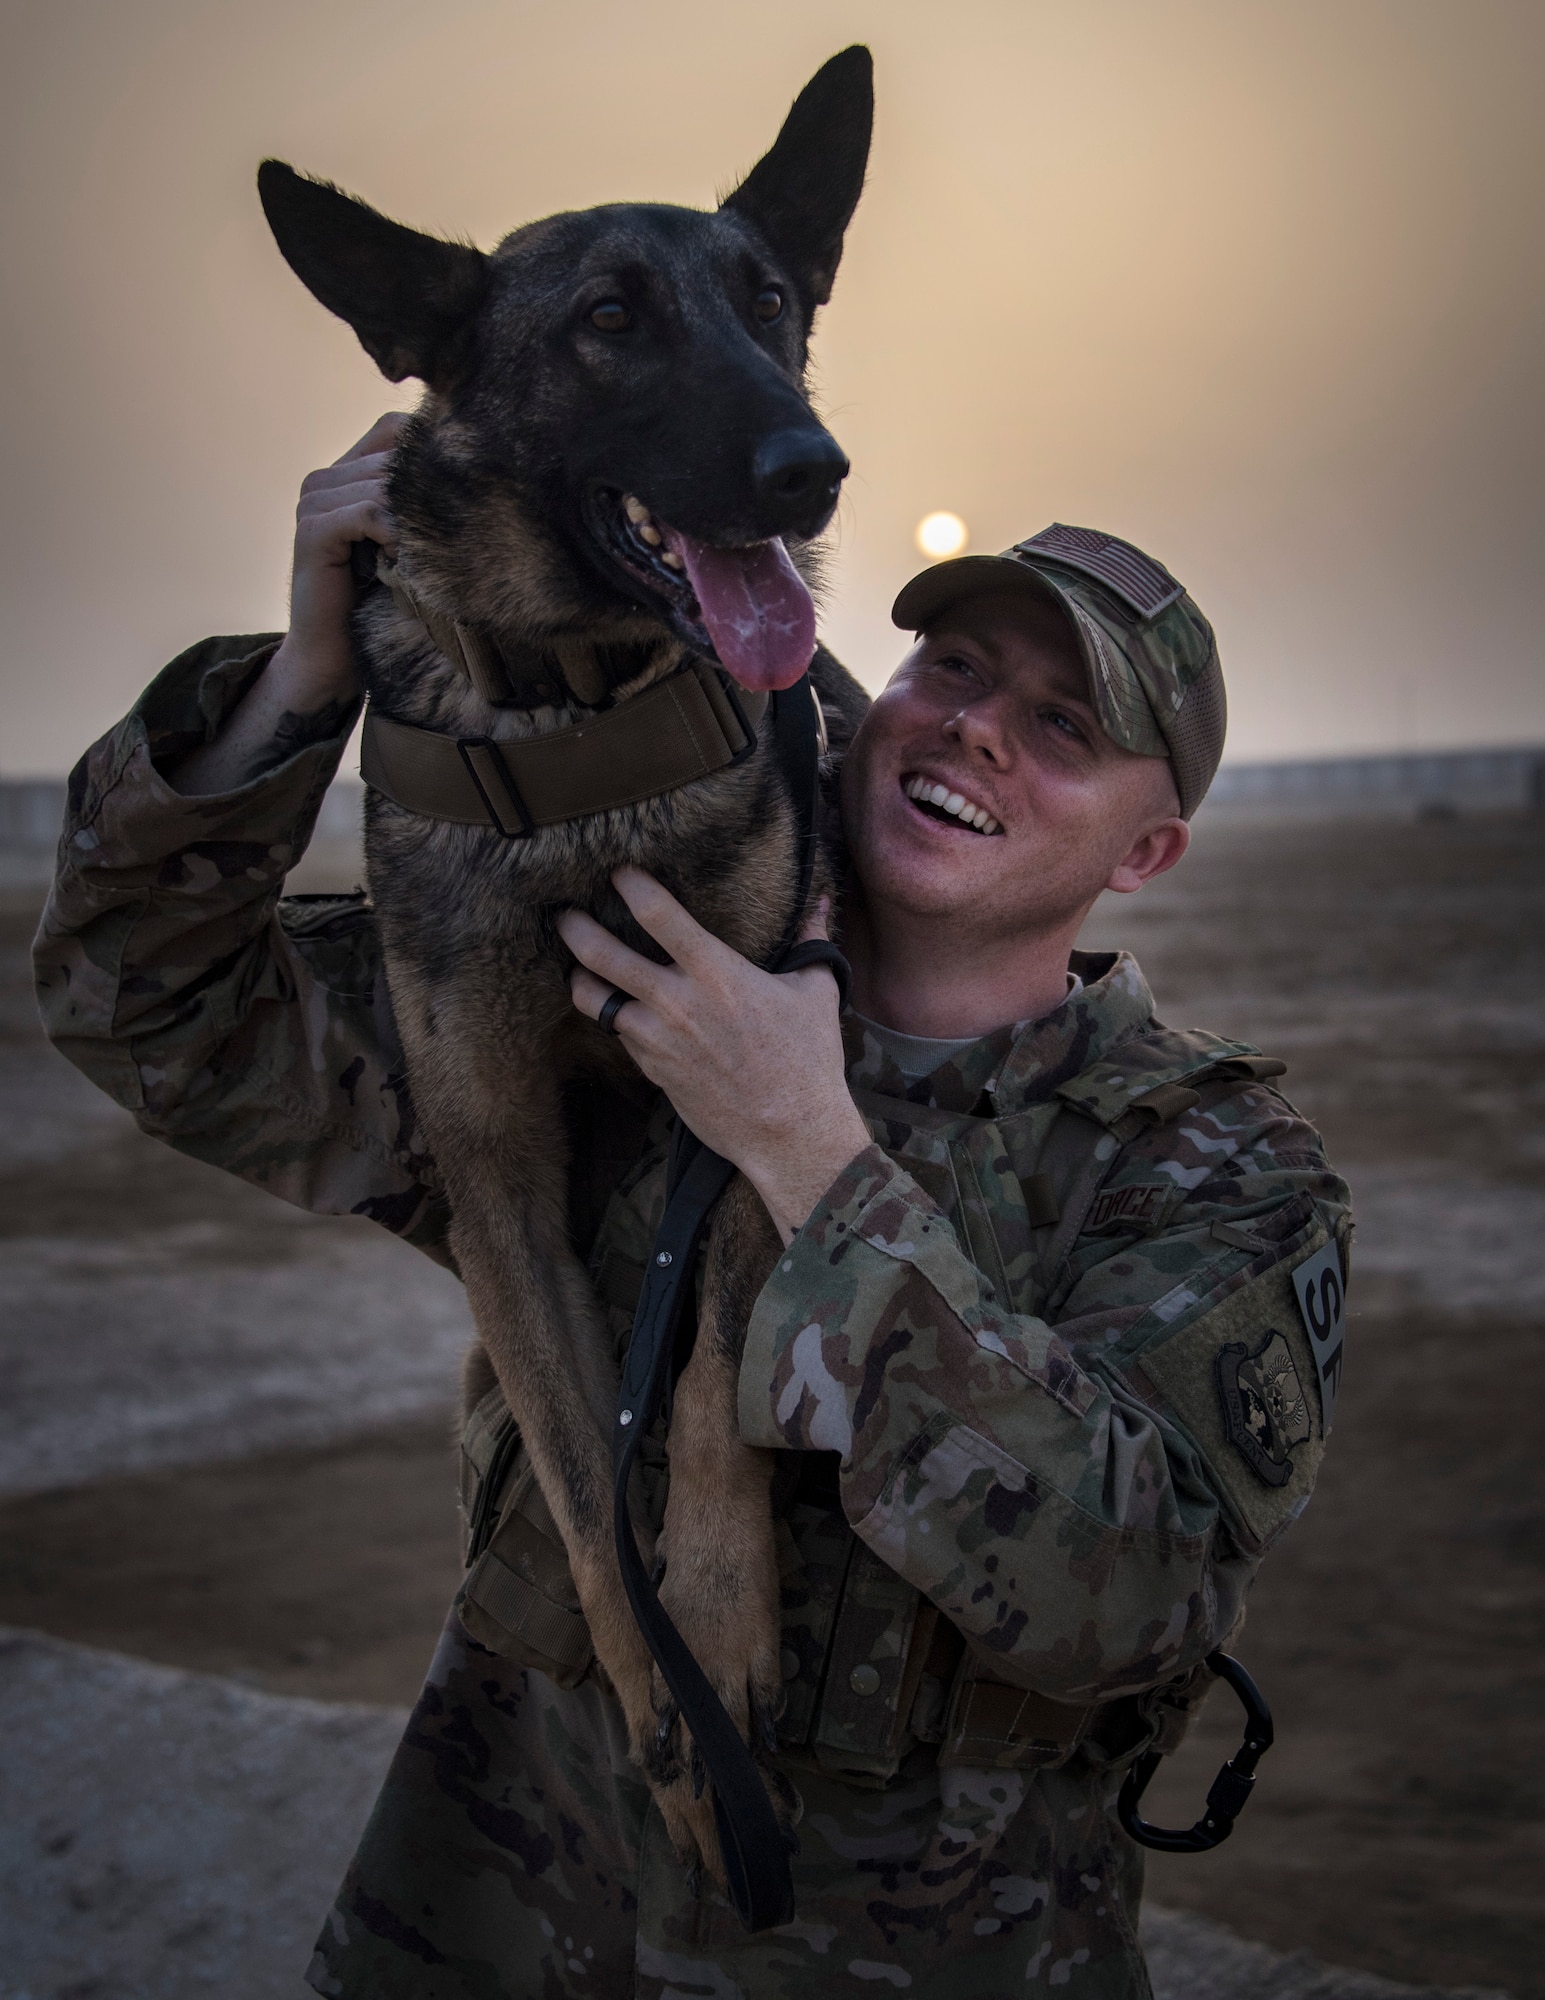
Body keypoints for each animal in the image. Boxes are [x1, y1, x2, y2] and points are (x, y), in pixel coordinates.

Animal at [260, 50, 876, 1888]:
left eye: (769, 302)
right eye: (610, 318)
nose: (812, 467)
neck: (582, 738)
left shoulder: (745, 1099)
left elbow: (708, 1390)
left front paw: (720, 1628)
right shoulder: (498, 1176)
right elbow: (579, 1453)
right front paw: (662, 1696)